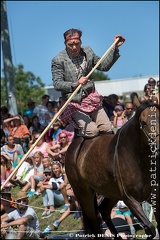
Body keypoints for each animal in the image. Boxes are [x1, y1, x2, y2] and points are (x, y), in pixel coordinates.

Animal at [65, 94, 159, 239]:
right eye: (143, 123)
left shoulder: (155, 196)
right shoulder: (130, 199)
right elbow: (150, 229)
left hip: (111, 192)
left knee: (104, 210)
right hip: (84, 194)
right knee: (95, 224)